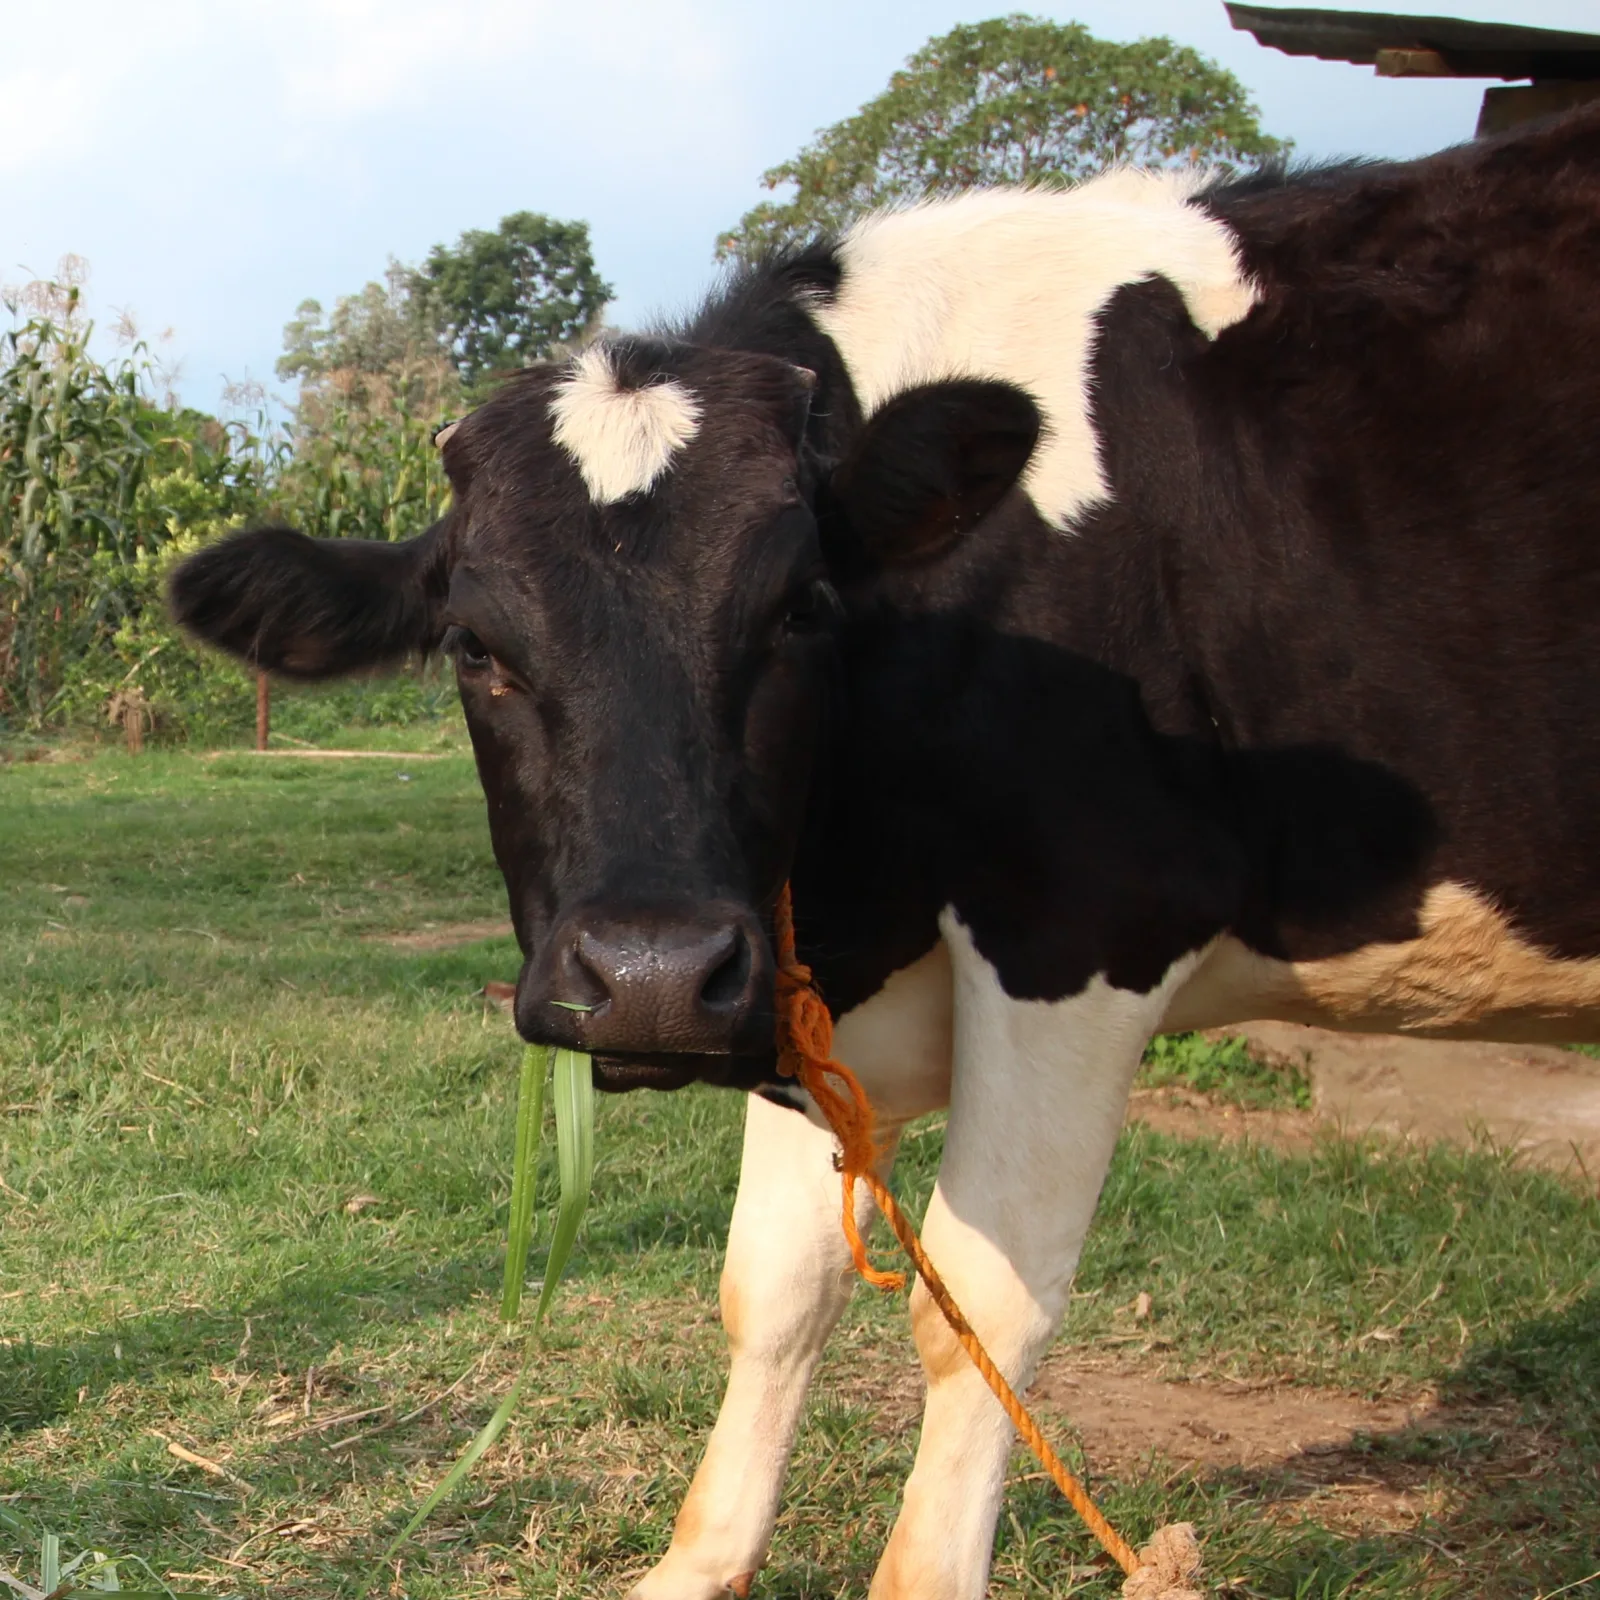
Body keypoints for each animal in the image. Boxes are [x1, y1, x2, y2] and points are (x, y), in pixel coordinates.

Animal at [172, 105, 1600, 1598]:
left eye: (804, 607)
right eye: (472, 644)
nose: (648, 976)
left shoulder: (1086, 924)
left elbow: (981, 1308)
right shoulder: (796, 979)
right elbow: (770, 1285)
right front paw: (698, 1561)